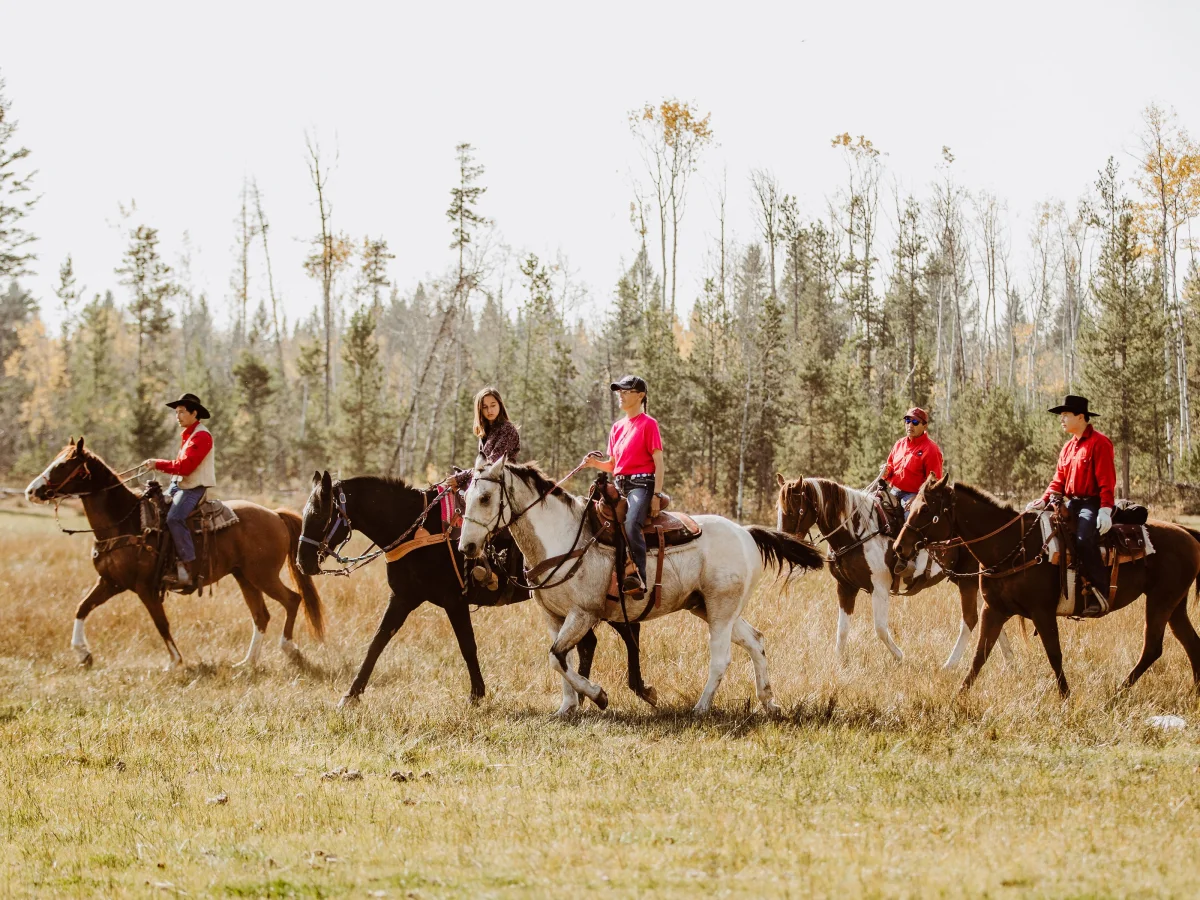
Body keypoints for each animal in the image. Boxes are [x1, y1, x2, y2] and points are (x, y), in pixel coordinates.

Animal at [24, 436, 324, 672]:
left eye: (63, 465)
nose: (31, 491)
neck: (125, 522)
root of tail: (274, 514)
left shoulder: (144, 587)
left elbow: (161, 623)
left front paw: (175, 662)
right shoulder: (110, 582)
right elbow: (82, 608)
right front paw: (83, 654)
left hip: (262, 575)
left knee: (292, 600)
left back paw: (289, 649)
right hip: (244, 577)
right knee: (261, 615)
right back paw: (247, 662)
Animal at [297, 472, 657, 710]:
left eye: (319, 512)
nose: (303, 562)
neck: (418, 530)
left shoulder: (453, 601)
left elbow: (467, 646)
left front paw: (477, 695)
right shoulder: (402, 598)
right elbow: (377, 642)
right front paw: (351, 694)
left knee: (629, 633)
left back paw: (638, 688)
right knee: (591, 643)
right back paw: (584, 695)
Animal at [458, 460, 825, 715]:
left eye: (486, 498)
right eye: (464, 498)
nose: (467, 547)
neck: (562, 539)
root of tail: (746, 532)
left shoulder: (583, 614)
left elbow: (558, 657)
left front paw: (598, 696)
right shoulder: (553, 617)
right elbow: (561, 660)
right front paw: (567, 707)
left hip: (721, 610)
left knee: (721, 658)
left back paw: (701, 708)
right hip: (709, 607)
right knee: (756, 641)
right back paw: (769, 702)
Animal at [897, 480, 1200, 696]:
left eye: (925, 509)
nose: (900, 547)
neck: (1012, 546)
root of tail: (1186, 532)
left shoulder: (1042, 613)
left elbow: (1054, 654)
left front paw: (1066, 697)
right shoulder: (993, 610)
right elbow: (979, 656)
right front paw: (957, 697)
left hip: (1161, 600)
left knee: (1153, 648)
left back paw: (1117, 694)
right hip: (1175, 604)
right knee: (1190, 642)